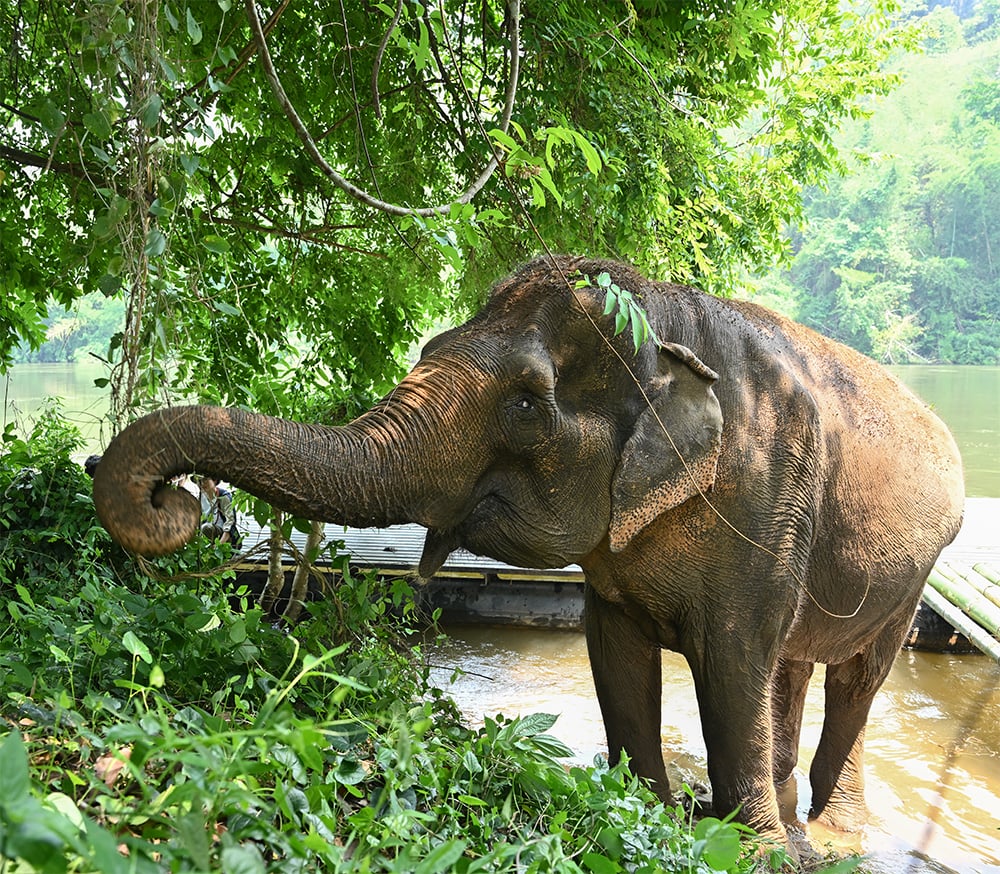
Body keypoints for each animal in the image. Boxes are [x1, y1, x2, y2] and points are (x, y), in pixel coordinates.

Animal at [92, 255, 964, 852]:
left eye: (523, 403)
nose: (176, 499)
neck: (669, 319)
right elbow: (617, 658)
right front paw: (653, 813)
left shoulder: (767, 499)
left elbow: (732, 666)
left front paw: (748, 851)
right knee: (796, 667)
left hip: (911, 574)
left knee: (855, 680)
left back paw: (831, 837)